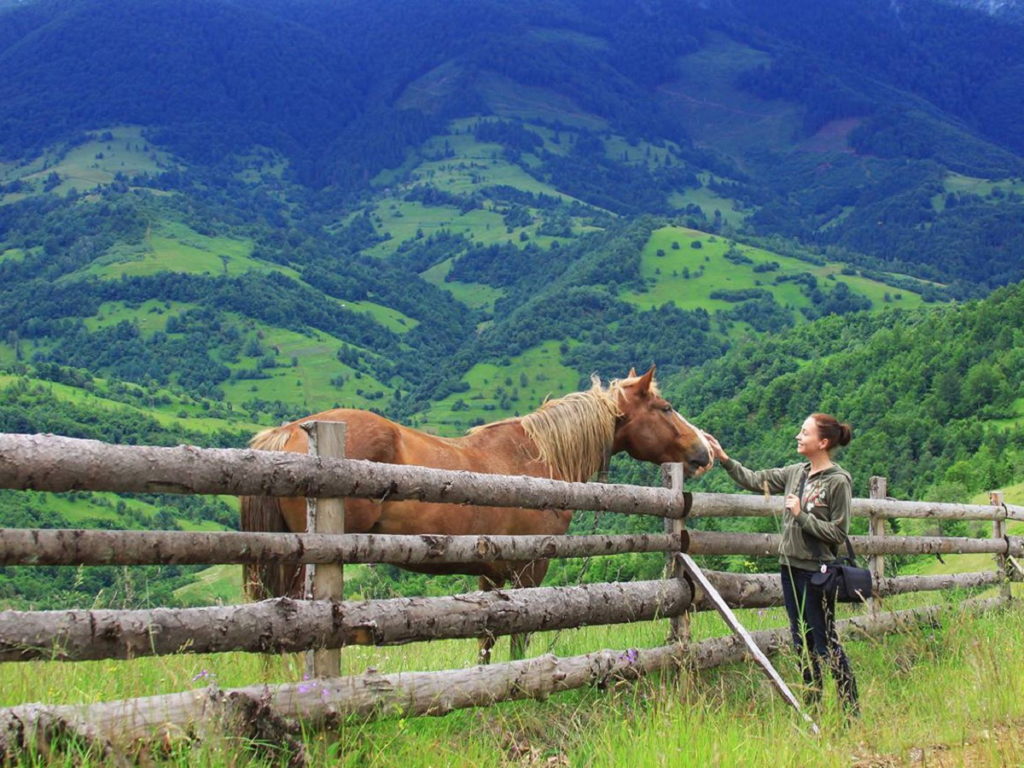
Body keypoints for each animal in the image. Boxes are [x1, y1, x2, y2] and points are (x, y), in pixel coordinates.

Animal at [239, 366, 712, 663]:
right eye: (666, 408)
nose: (703, 452)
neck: (537, 457)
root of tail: (290, 431)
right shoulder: (528, 568)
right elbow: (520, 634)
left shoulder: (491, 572)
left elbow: (487, 637)